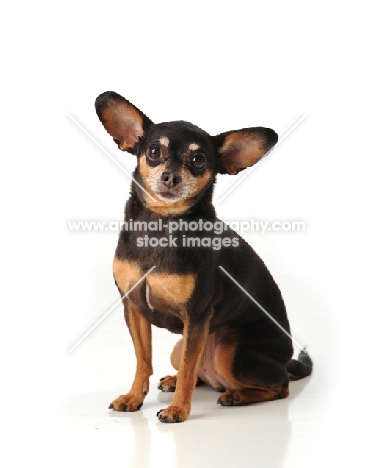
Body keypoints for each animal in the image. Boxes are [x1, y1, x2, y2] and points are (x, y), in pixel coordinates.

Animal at [95, 92, 314, 424]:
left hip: (230, 353)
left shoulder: (196, 316)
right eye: (154, 151)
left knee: (280, 386)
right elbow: (143, 361)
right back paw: (179, 381)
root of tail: (286, 361)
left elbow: (188, 367)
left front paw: (178, 411)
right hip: (181, 345)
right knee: (198, 370)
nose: (170, 177)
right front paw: (134, 397)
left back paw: (237, 395)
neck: (161, 224)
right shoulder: (133, 307)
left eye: (198, 161)